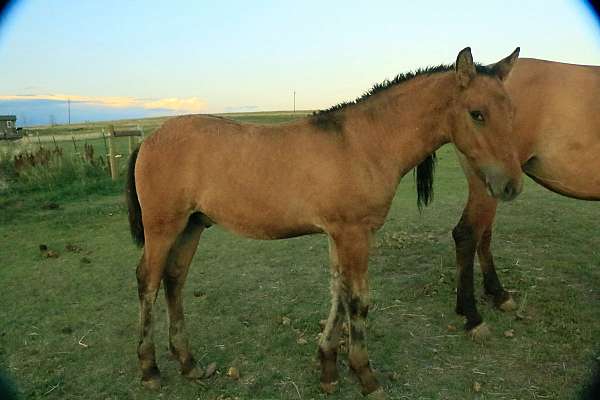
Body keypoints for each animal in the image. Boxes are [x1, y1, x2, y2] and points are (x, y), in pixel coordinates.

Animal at [126, 47, 520, 396]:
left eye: (512, 110)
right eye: (477, 113)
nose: (510, 185)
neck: (365, 143)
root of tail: (148, 141)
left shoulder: (337, 234)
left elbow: (338, 292)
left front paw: (328, 368)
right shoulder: (355, 233)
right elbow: (357, 299)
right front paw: (365, 375)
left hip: (193, 225)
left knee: (174, 278)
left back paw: (189, 363)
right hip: (163, 227)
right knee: (149, 281)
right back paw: (149, 369)